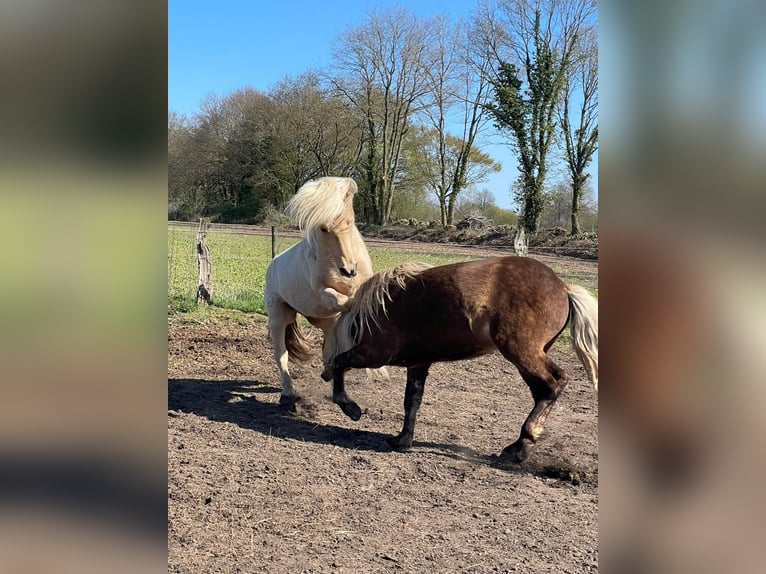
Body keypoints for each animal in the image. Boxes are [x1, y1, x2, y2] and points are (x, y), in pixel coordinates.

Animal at [264, 176, 374, 406]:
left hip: (322, 320)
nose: (348, 270)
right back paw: (288, 392)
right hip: (278, 319)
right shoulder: (323, 293)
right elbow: (343, 300)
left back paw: (330, 372)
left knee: (328, 349)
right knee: (282, 355)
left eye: (349, 222)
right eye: (323, 228)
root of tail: (273, 265)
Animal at [320, 256, 598, 464]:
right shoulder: (418, 364)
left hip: (522, 352)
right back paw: (519, 445)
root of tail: (563, 286)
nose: (321, 374)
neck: (375, 308)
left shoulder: (373, 354)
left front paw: (350, 408)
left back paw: (521, 447)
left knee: (554, 383)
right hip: (527, 358)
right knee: (543, 391)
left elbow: (339, 363)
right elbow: (412, 401)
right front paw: (402, 440)